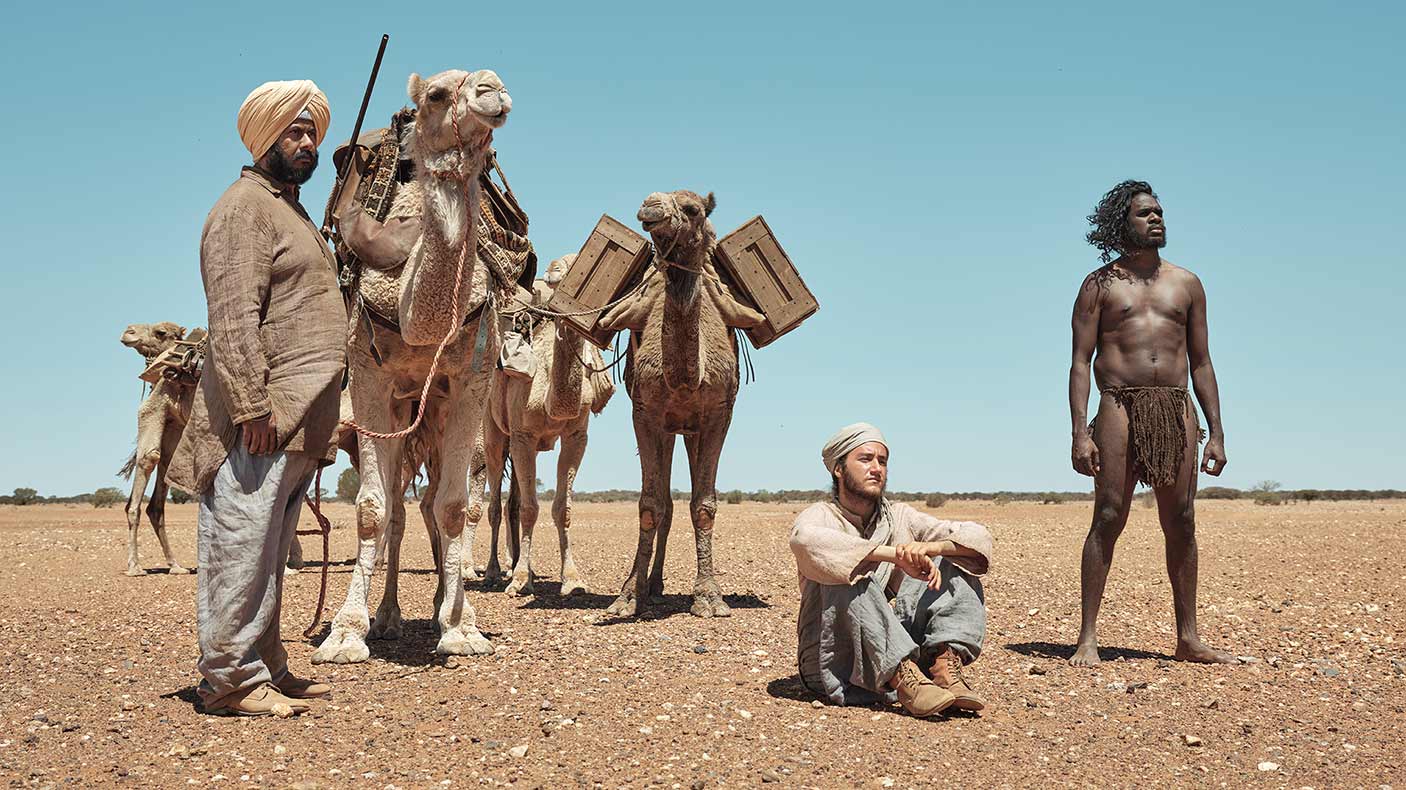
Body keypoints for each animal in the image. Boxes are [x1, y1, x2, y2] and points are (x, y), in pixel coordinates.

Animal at [314, 67, 517, 660]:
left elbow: (453, 506)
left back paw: (437, 607)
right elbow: (371, 510)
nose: (492, 89)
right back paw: (387, 617)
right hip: (400, 415)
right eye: (437, 94)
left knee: (430, 504)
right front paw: (345, 633)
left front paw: (462, 627)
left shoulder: (472, 377)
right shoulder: (369, 375)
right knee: (400, 512)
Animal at [483, 255, 615, 593]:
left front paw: (572, 579)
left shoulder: (576, 436)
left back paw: (519, 564)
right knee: (494, 503)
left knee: (512, 502)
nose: (554, 271)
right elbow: (531, 508)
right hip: (493, 431)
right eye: (560, 273)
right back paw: (492, 571)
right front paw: (519, 581)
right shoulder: (523, 435)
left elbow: (561, 508)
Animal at [596, 191, 764, 615]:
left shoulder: (720, 416)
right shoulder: (645, 415)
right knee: (666, 504)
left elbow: (703, 505)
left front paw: (709, 596)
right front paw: (628, 596)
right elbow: (650, 504)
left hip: (689, 430)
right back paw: (650, 585)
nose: (651, 206)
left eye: (693, 210)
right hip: (671, 428)